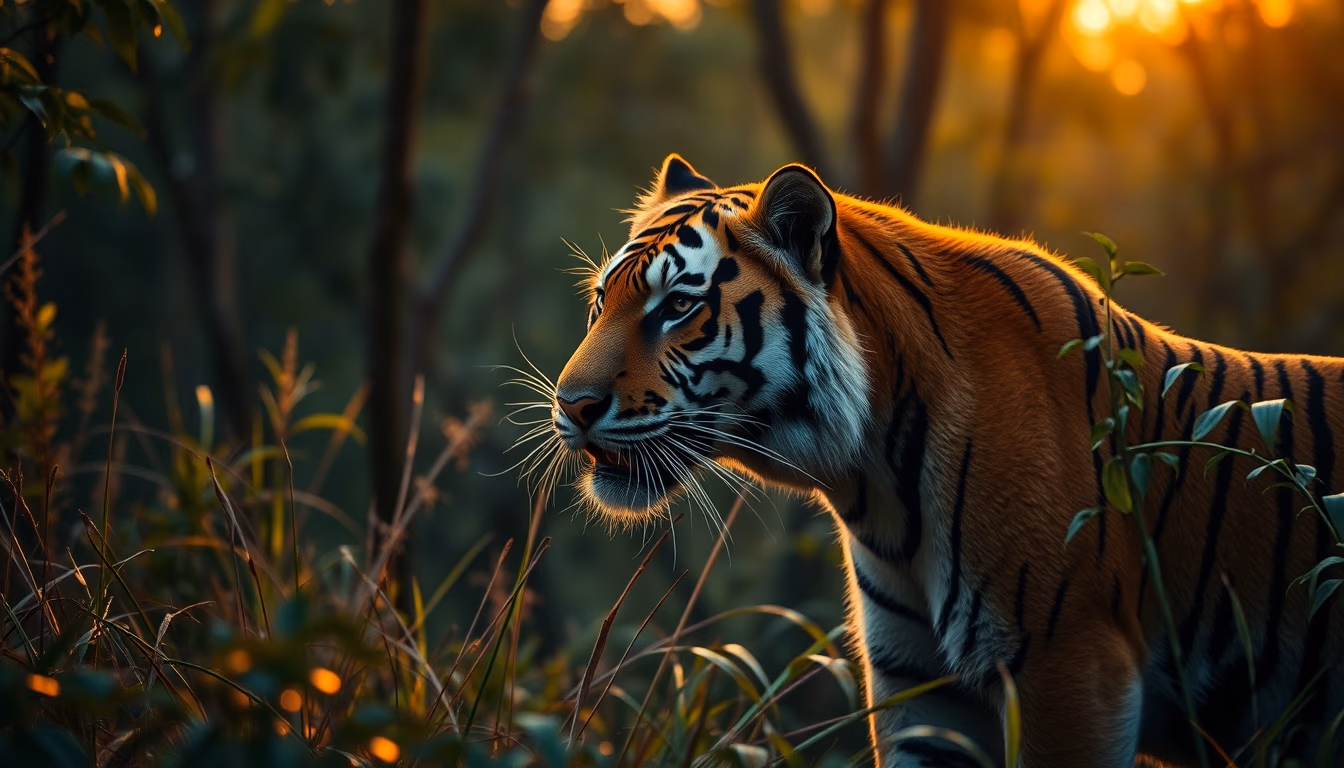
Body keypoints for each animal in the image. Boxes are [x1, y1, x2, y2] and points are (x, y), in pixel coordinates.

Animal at [544, 154, 1344, 767]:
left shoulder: (1069, 667)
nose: (570, 406)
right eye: (601, 301)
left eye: (678, 307)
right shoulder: (921, 687)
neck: (872, 481)